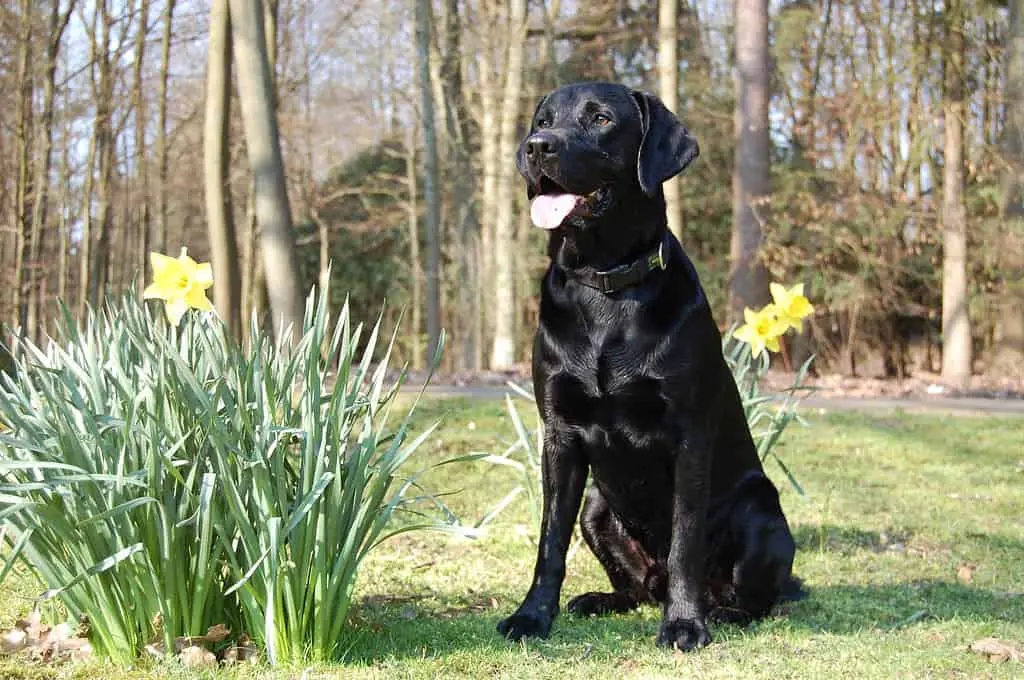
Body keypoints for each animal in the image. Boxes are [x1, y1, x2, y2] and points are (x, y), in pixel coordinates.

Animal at [495, 82, 798, 651]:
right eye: (542, 120)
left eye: (600, 119)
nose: (537, 147)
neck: (606, 282)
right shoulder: (559, 435)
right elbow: (550, 541)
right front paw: (532, 616)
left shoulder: (689, 437)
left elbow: (685, 543)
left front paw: (684, 623)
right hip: (596, 506)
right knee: (635, 588)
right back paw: (602, 599)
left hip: (759, 510)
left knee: (754, 596)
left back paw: (721, 611)